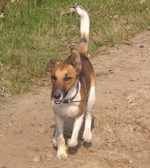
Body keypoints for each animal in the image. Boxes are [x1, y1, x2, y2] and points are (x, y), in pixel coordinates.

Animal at [47, 4, 95, 159]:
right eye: (53, 77)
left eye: (68, 78)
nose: (55, 95)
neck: (66, 100)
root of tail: (81, 54)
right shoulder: (58, 116)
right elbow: (61, 136)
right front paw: (61, 151)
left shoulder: (78, 116)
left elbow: (73, 137)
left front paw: (71, 143)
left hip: (91, 98)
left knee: (89, 116)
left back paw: (87, 135)